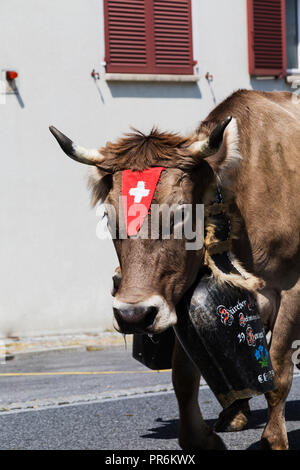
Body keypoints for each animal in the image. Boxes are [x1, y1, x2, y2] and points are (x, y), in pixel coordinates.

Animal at [50, 90, 300, 450]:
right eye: (108, 217)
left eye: (182, 214)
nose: (133, 315)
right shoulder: (180, 294)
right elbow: (183, 376)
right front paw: (203, 439)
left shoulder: (293, 289)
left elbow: (278, 369)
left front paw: (273, 439)